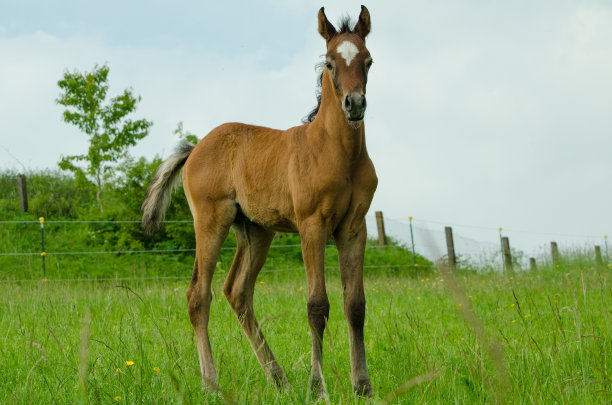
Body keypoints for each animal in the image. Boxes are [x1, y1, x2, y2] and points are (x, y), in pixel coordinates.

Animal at [142, 5, 378, 398]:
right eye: (330, 63)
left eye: (368, 61)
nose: (355, 103)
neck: (338, 153)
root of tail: (195, 148)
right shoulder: (312, 225)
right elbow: (317, 306)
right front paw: (318, 387)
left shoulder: (353, 228)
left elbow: (355, 304)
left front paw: (362, 386)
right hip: (211, 221)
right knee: (199, 294)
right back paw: (212, 384)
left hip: (255, 231)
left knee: (237, 292)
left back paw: (279, 379)